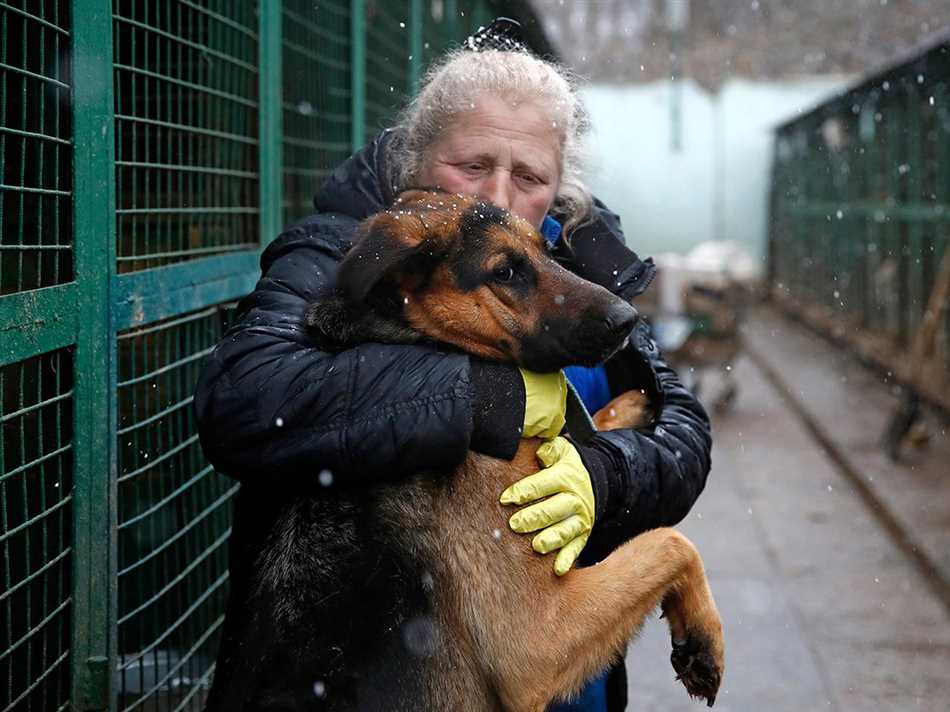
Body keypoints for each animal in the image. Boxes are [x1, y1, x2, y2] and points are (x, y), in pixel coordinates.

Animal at [208, 189, 724, 712]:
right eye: (505, 272)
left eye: (547, 251)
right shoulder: (538, 637)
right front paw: (706, 638)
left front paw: (630, 405)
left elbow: (578, 435)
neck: (431, 340)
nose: (629, 320)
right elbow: (670, 543)